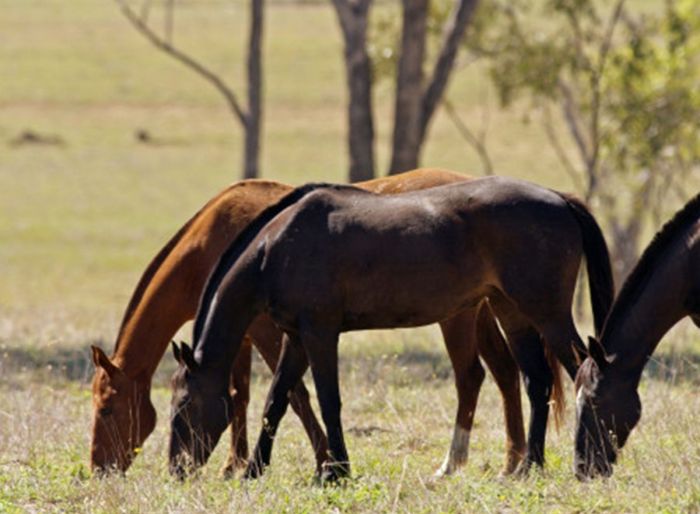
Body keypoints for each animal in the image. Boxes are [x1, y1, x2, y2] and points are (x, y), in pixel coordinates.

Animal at [170, 176, 612, 480]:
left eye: (183, 405)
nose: (177, 469)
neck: (278, 248)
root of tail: (559, 199)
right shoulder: (295, 339)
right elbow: (276, 401)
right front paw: (254, 470)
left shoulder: (319, 333)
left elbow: (328, 400)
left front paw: (336, 471)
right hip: (513, 313)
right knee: (537, 381)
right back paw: (528, 468)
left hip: (548, 315)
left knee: (581, 373)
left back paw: (588, 463)